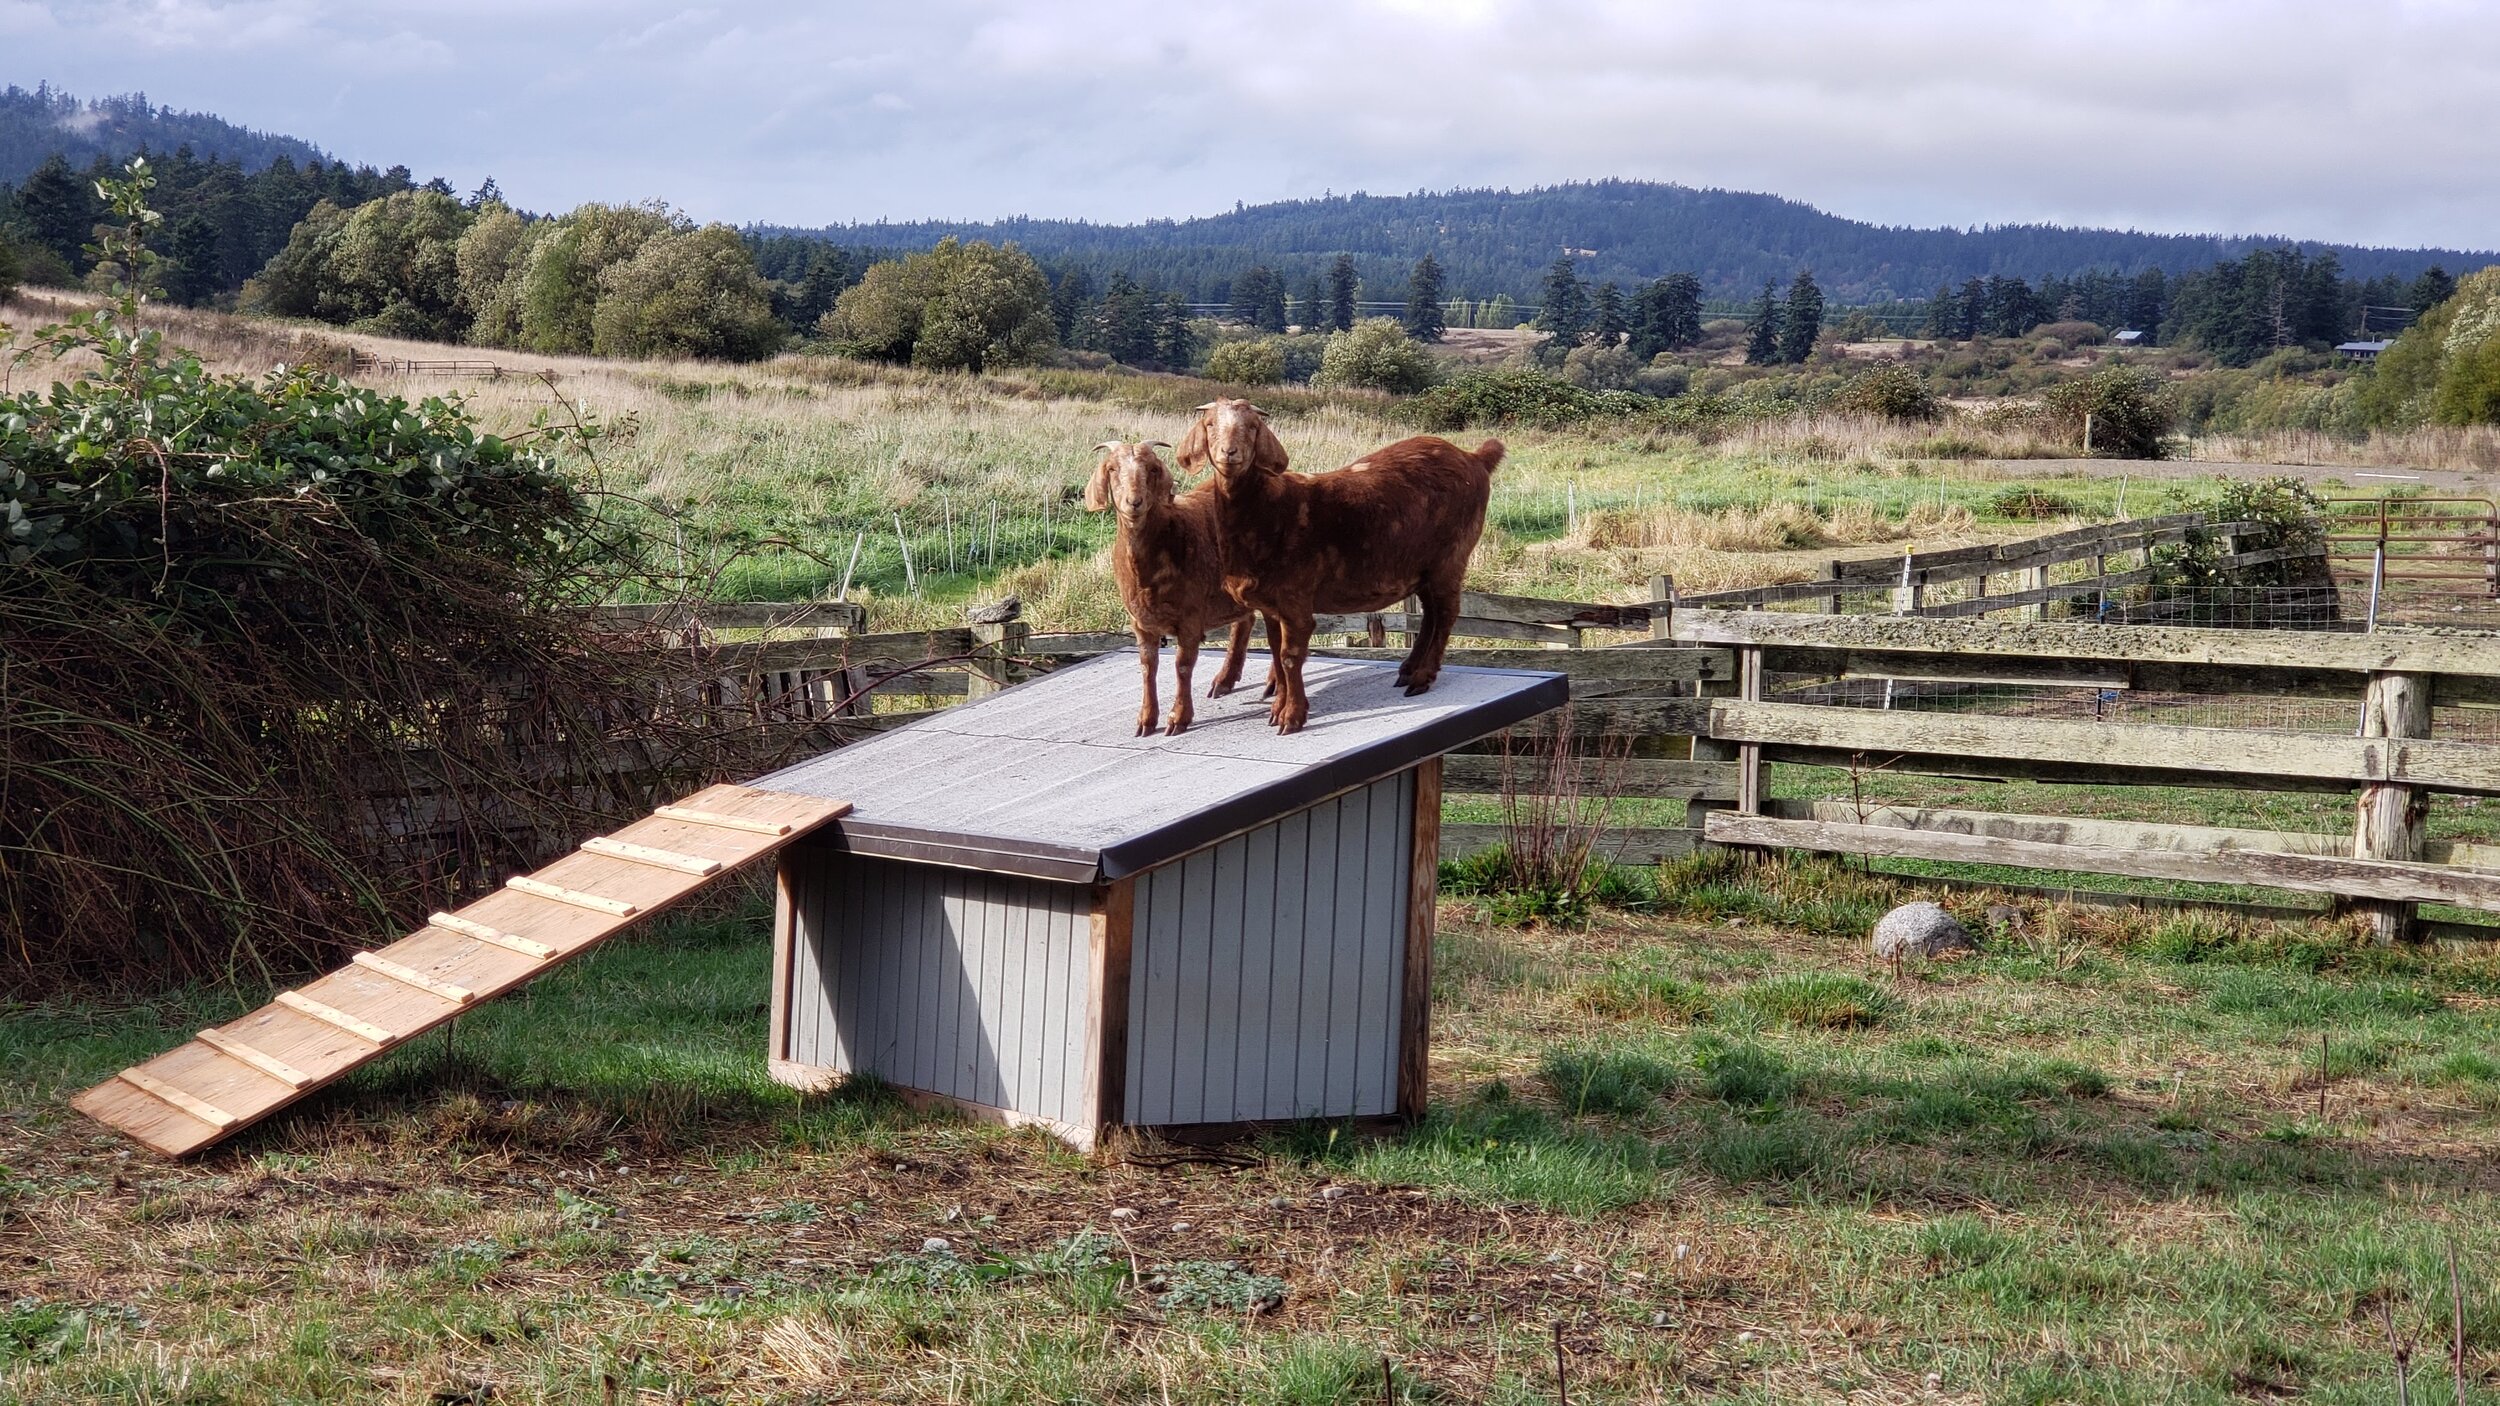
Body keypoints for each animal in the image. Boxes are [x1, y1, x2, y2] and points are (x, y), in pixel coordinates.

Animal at [1085, 440, 1260, 735]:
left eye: (1153, 469)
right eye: (1112, 469)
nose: (1134, 502)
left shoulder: (1190, 617)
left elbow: (1183, 665)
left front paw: (1178, 718)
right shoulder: (1140, 623)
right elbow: (1148, 667)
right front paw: (1146, 719)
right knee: (1245, 621)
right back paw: (1226, 680)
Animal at [1175, 397, 1500, 735]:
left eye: (1253, 427)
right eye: (1210, 424)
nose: (1229, 453)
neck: (1268, 511)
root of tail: (1475, 458)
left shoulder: (1296, 598)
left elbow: (1289, 657)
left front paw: (1292, 717)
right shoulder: (1271, 605)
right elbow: (1277, 653)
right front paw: (1278, 709)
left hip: (1451, 557)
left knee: (1447, 613)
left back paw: (1422, 677)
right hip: (1422, 567)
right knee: (1431, 615)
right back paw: (1408, 670)